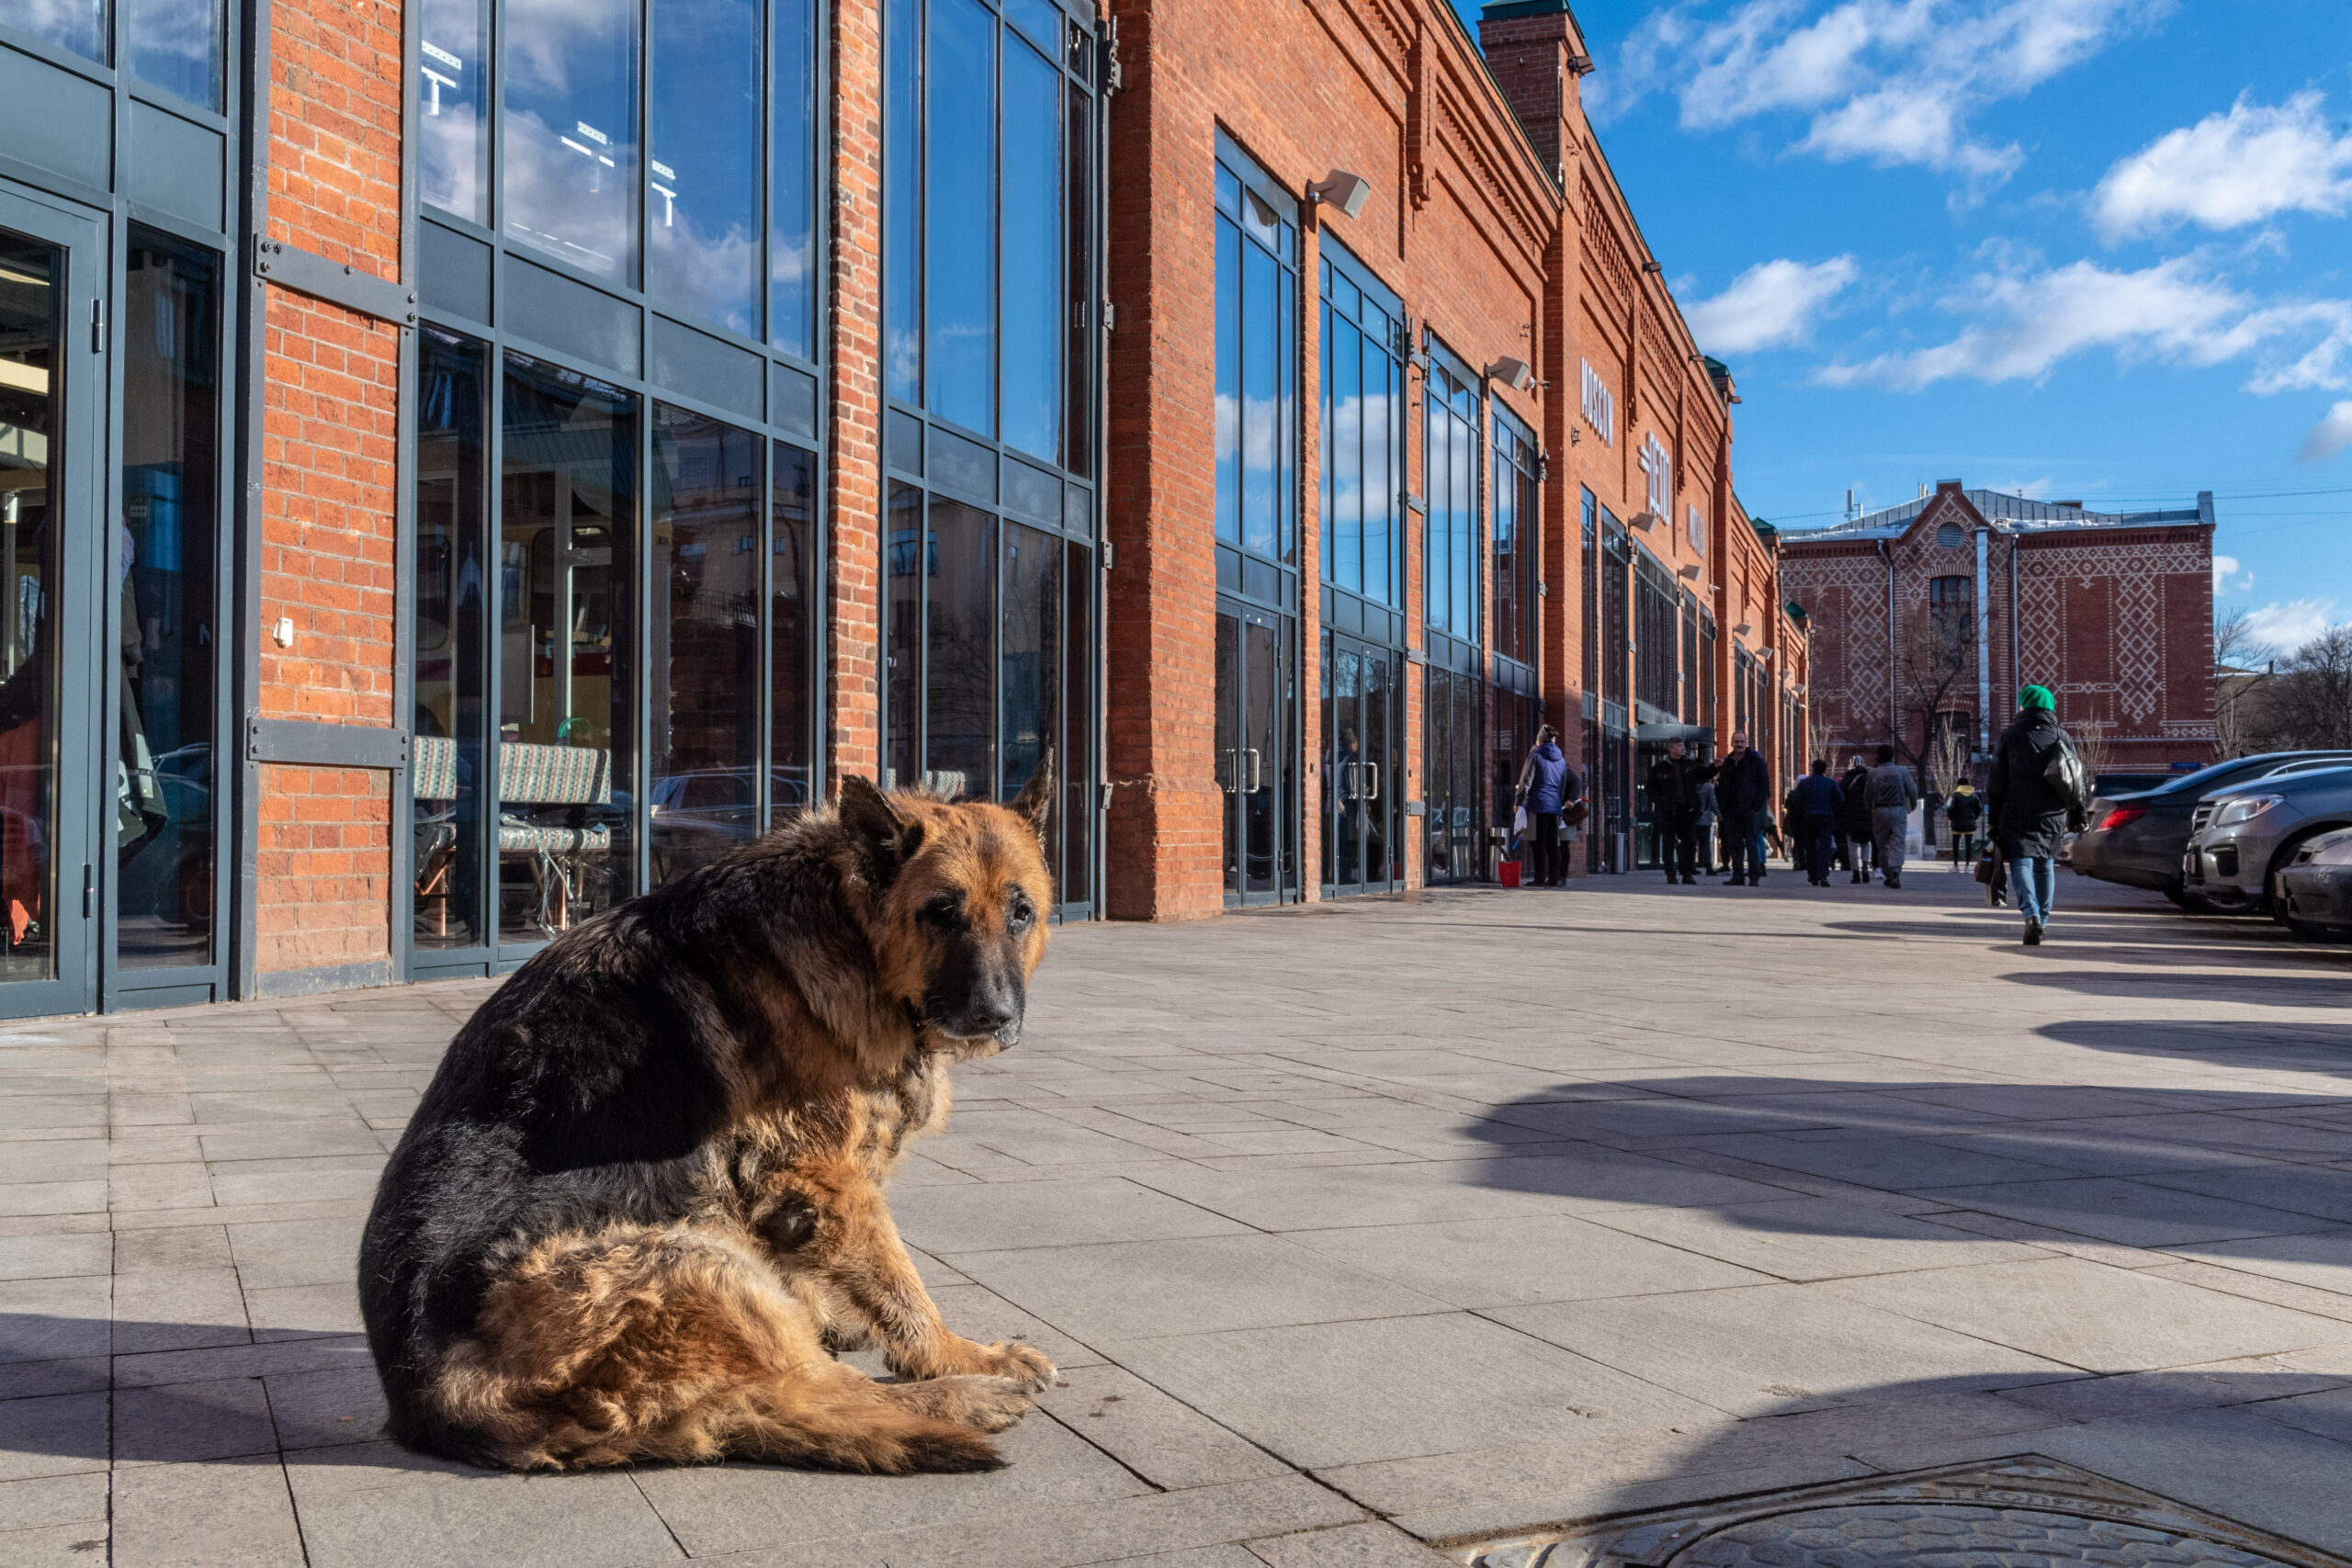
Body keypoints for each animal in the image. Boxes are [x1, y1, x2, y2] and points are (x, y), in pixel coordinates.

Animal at [357, 771, 1058, 1476]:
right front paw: (953, 1354)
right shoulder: (826, 1180)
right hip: (695, 1258)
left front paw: (828, 1313)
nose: (994, 1015)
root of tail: (431, 1404)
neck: (846, 925)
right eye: (941, 912)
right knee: (818, 1387)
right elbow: (901, 1287)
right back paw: (970, 1391)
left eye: (1021, 913)